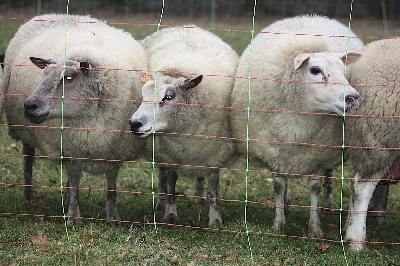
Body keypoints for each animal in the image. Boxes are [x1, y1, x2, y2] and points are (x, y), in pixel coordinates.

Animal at [3, 14, 148, 227]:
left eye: (69, 77)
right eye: (44, 74)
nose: (29, 105)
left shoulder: (116, 151)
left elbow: (111, 185)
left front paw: (113, 216)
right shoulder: (70, 149)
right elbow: (76, 182)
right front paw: (73, 217)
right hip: (25, 131)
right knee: (28, 158)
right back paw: (29, 194)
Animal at [130, 26, 239, 227]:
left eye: (169, 96)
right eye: (143, 95)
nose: (134, 123)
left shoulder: (215, 154)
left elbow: (214, 185)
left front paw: (215, 218)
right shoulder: (169, 154)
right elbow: (171, 182)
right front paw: (171, 213)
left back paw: (200, 197)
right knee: (162, 175)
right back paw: (161, 202)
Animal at [230, 14, 364, 238]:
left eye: (343, 70)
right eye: (315, 70)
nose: (353, 98)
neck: (299, 121)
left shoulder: (320, 154)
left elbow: (315, 188)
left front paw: (315, 228)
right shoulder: (274, 151)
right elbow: (278, 186)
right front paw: (279, 224)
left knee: (329, 174)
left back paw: (327, 204)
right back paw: (286, 204)